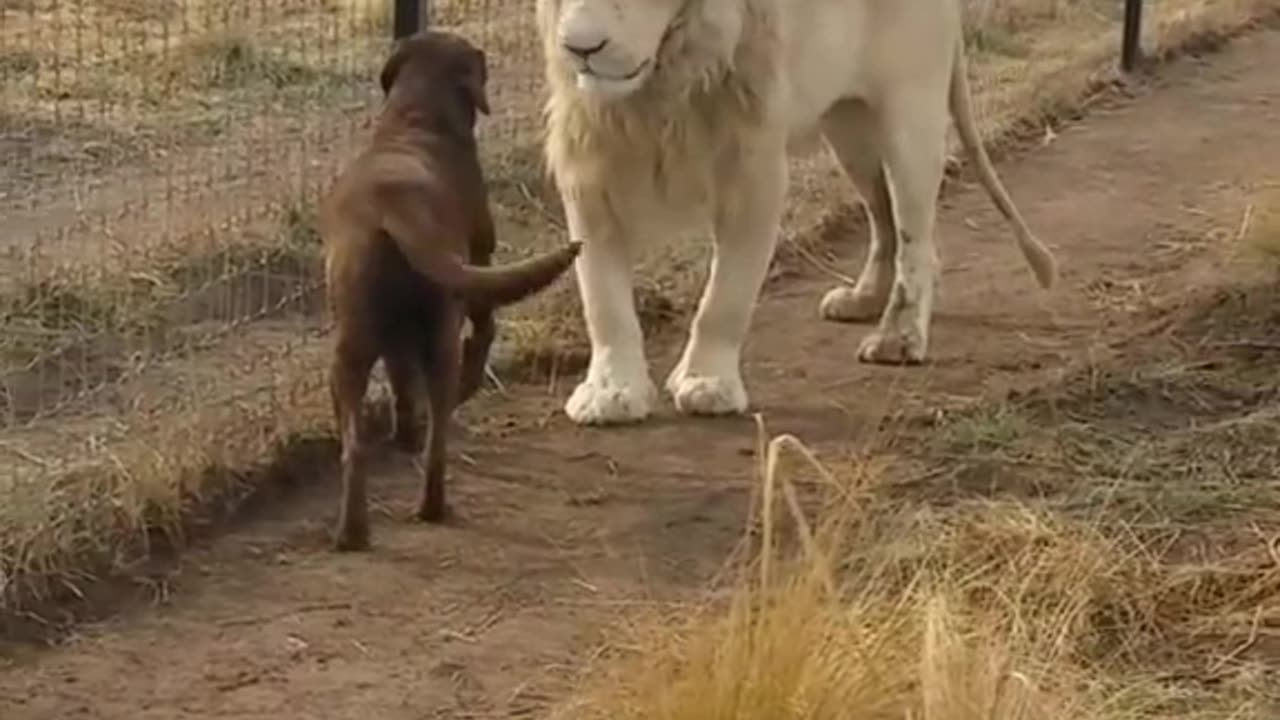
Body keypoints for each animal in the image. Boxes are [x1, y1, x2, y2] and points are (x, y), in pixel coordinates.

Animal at [320, 30, 581, 548]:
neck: (416, 118)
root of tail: (394, 210)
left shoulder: (398, 340)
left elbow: (402, 384)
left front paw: (403, 433)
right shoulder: (479, 260)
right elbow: (485, 328)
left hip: (356, 349)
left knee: (363, 445)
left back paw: (360, 528)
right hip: (438, 333)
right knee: (439, 422)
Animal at [535, 0, 1054, 422]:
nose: (579, 48)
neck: (658, 93)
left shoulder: (754, 171)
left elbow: (725, 297)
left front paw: (707, 383)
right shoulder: (590, 174)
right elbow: (603, 300)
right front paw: (610, 392)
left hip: (909, 113)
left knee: (916, 236)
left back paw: (899, 338)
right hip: (848, 126)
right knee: (883, 218)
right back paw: (864, 299)